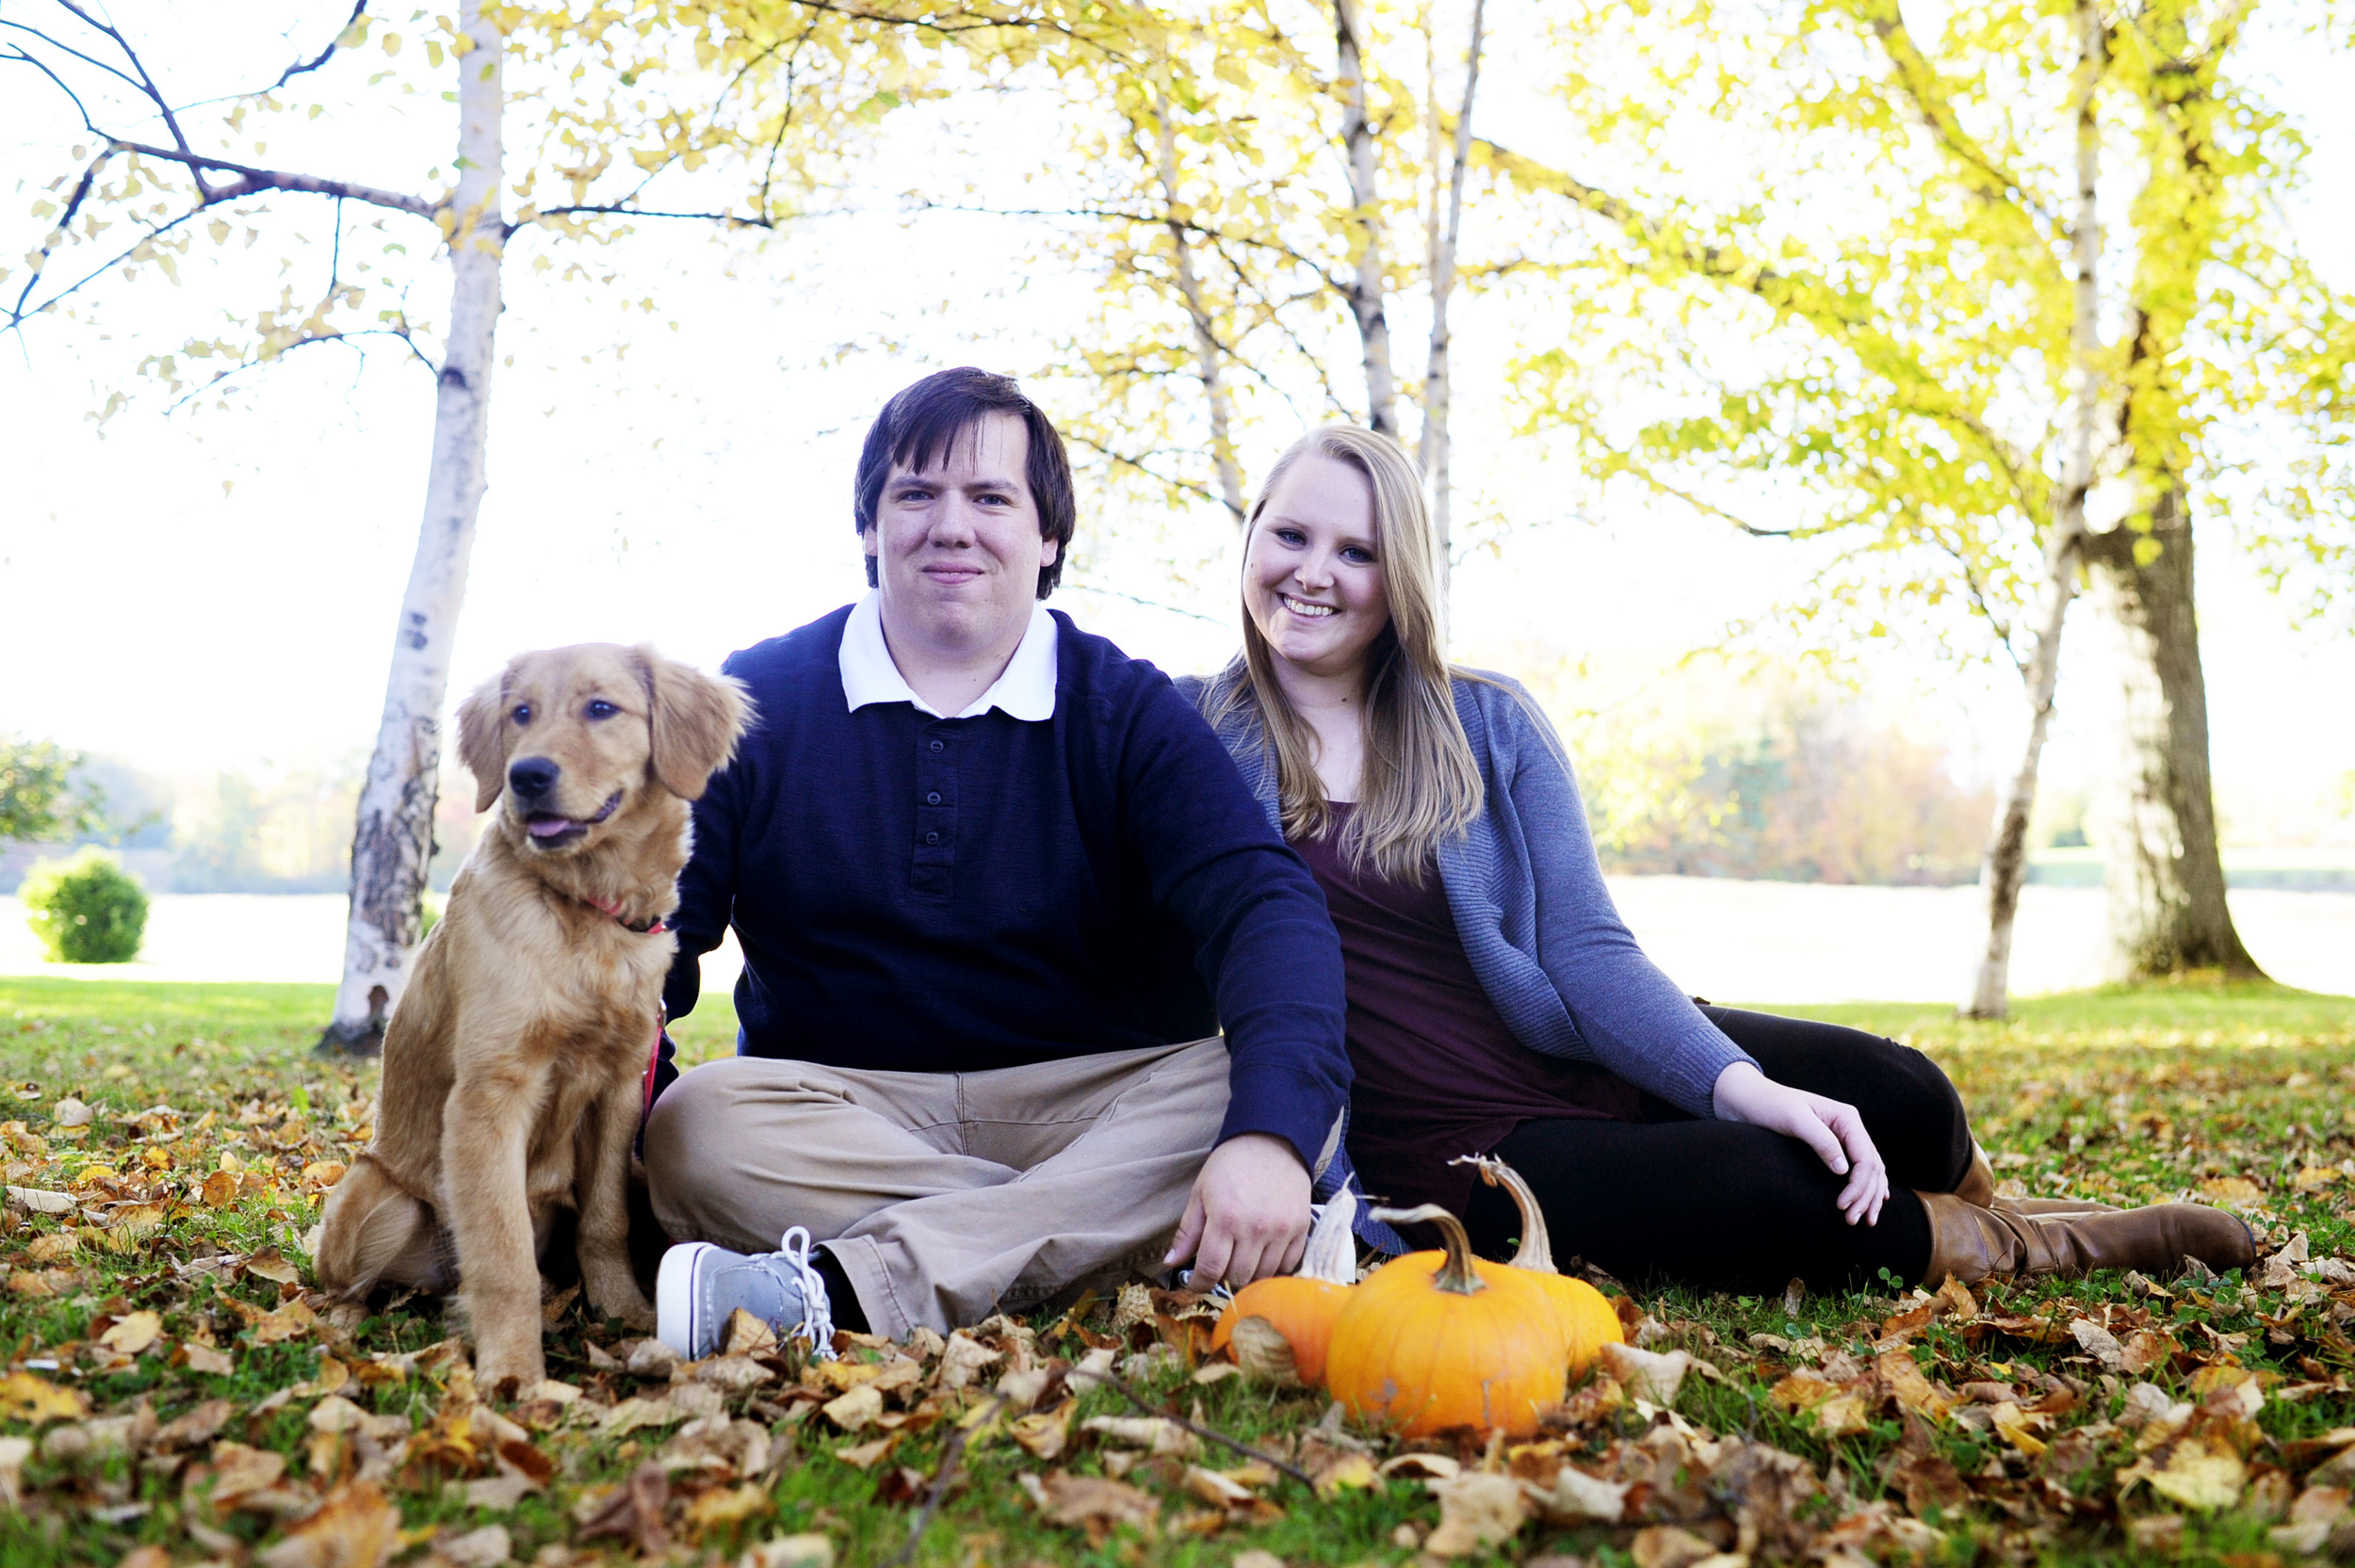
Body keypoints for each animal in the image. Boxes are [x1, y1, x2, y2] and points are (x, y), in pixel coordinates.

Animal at [317, 640, 749, 1384]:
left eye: (601, 707)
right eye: (520, 714)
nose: (527, 776)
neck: (587, 917)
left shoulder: (619, 1087)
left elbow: (604, 1222)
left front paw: (624, 1315)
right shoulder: (490, 1093)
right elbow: (501, 1251)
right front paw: (514, 1371)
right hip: (377, 1194)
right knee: (347, 1282)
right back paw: (344, 1327)